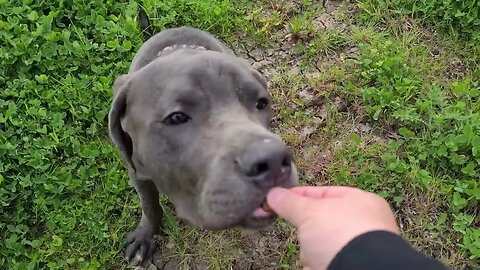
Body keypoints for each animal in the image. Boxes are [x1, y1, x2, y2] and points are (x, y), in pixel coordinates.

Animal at [108, 9, 300, 262]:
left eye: (261, 103)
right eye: (176, 117)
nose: (274, 161)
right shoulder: (137, 172)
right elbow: (150, 205)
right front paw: (145, 236)